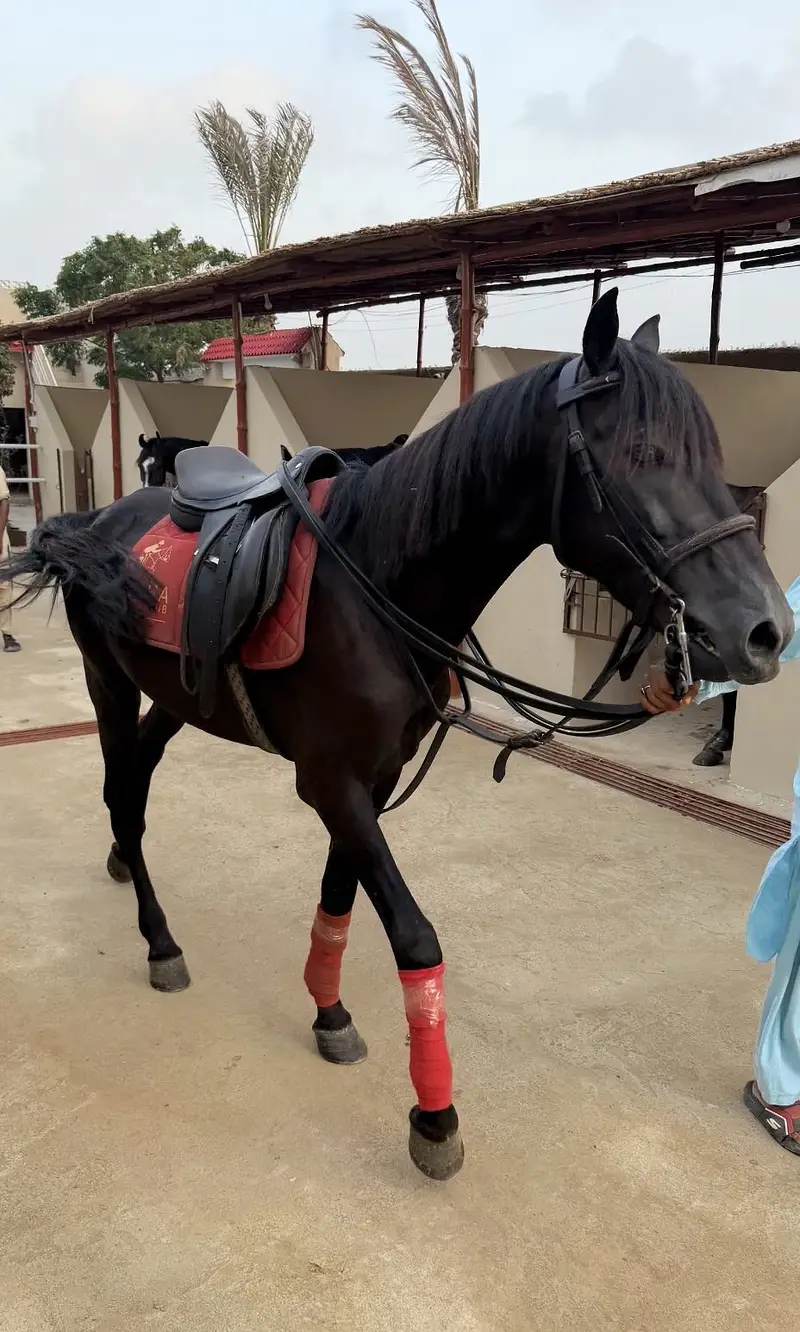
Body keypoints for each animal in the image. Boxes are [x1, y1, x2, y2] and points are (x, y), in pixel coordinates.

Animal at [3, 291, 792, 1180]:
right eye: (645, 454)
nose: (766, 631)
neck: (375, 583)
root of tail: (97, 517)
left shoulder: (370, 781)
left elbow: (340, 898)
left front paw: (329, 1011)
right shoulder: (331, 783)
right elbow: (414, 936)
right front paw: (435, 1115)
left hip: (175, 695)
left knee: (132, 782)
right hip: (106, 682)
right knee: (122, 797)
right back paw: (159, 941)